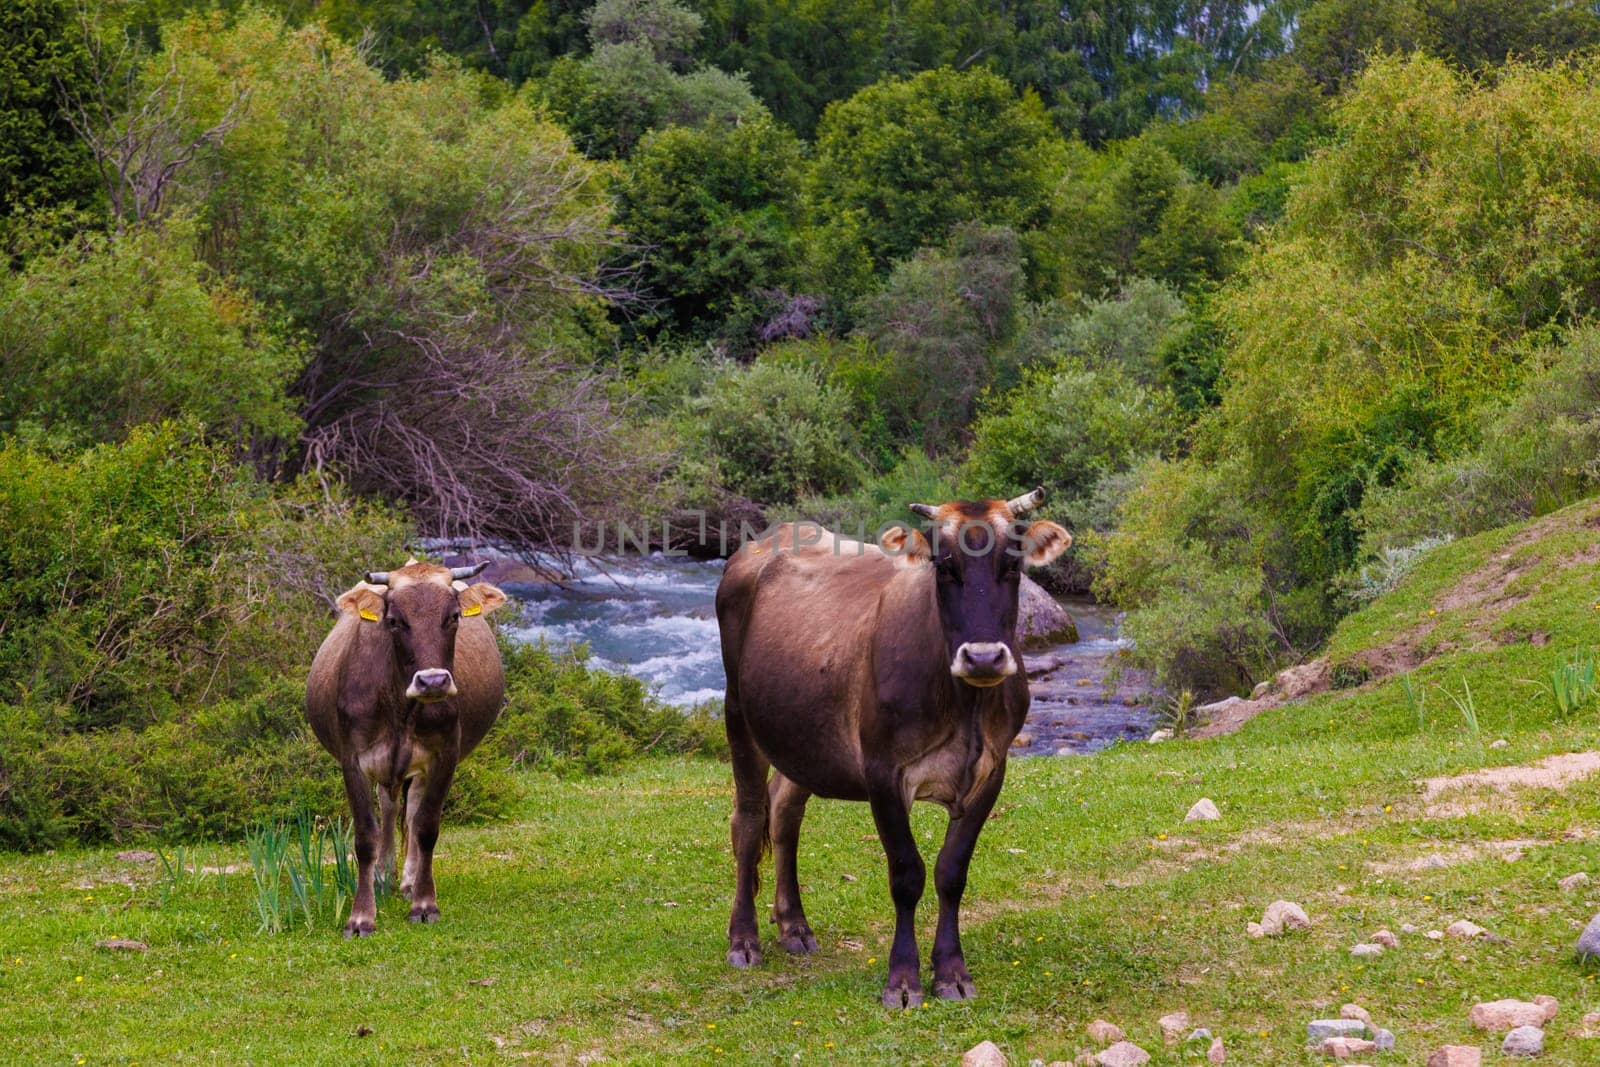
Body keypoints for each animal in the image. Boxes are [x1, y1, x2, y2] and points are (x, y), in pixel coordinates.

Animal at [305, 559, 505, 934]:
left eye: (453, 616)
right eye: (394, 620)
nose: (433, 681)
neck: (400, 707)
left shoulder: (445, 754)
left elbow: (426, 826)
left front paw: (424, 904)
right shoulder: (353, 759)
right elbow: (365, 835)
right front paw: (361, 916)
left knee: (409, 810)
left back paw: (409, 880)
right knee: (389, 807)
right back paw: (383, 876)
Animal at [716, 489, 1068, 1004]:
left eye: (1012, 564)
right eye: (944, 565)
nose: (983, 657)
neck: (965, 707)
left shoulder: (992, 769)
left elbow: (951, 872)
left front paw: (952, 972)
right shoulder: (882, 772)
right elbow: (906, 874)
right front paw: (902, 980)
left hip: (803, 739)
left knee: (784, 813)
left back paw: (794, 926)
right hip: (739, 713)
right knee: (747, 820)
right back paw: (744, 940)